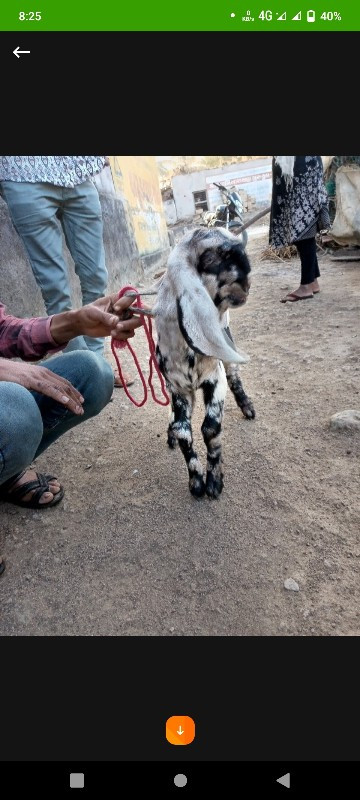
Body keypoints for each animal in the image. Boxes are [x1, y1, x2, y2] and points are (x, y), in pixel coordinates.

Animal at [153, 227, 255, 500]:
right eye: (210, 258)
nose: (246, 284)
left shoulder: (214, 379)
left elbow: (210, 428)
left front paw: (214, 482)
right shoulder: (178, 389)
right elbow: (182, 431)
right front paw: (196, 481)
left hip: (227, 343)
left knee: (234, 375)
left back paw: (247, 408)